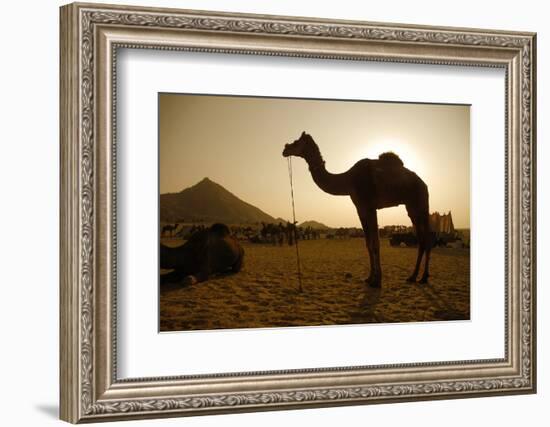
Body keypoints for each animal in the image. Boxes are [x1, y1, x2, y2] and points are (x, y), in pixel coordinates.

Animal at [284, 132, 436, 290]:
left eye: (296, 142)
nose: (285, 149)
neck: (348, 179)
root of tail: (424, 183)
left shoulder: (370, 206)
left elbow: (375, 243)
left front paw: (377, 281)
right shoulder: (360, 208)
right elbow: (368, 244)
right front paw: (369, 278)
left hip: (422, 204)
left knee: (427, 239)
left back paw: (424, 277)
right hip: (411, 208)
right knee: (421, 239)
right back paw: (413, 277)